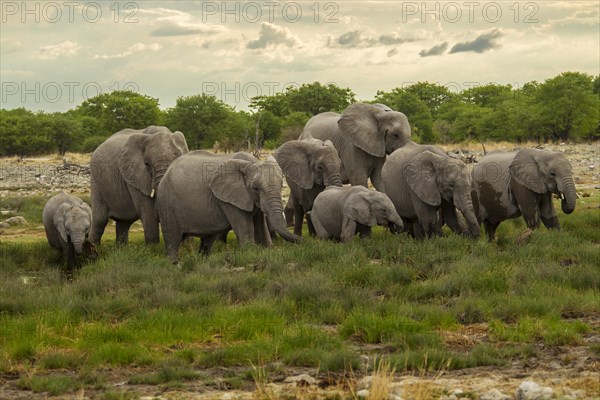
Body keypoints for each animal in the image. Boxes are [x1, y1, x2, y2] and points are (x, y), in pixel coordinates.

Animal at [158, 151, 302, 262]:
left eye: (281, 186)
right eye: (256, 188)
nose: (303, 240)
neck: (251, 163)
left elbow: (261, 227)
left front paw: (268, 249)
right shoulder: (229, 200)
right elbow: (245, 229)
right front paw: (250, 254)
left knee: (207, 240)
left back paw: (203, 261)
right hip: (167, 205)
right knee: (172, 239)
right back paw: (174, 264)